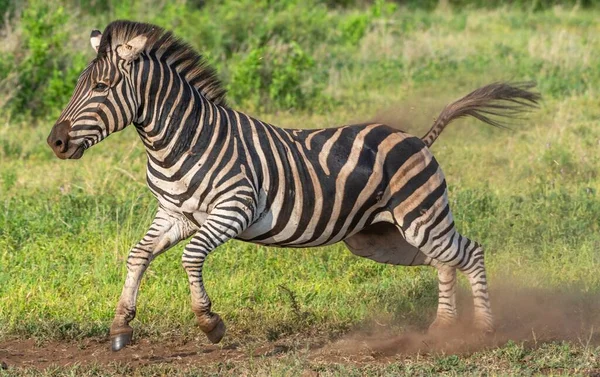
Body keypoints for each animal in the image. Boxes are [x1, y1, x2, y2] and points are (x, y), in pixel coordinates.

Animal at [47, 19, 540, 350]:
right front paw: (121, 325)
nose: (55, 141)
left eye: (102, 86)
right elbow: (138, 255)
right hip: (382, 237)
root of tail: (418, 138)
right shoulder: (177, 213)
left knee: (469, 253)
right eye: (78, 84)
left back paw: (482, 330)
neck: (181, 139)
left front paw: (210, 323)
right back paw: (443, 328)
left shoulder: (234, 208)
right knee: (443, 261)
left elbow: (190, 258)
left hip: (421, 217)